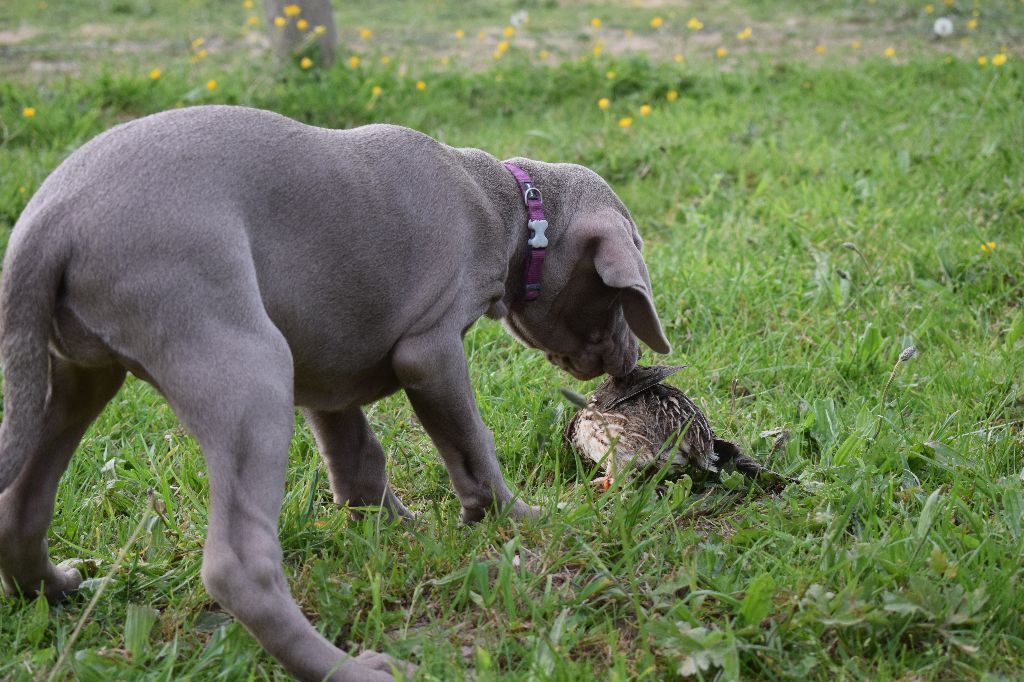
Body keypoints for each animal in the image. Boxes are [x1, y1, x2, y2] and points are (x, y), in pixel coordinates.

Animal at [0, 103, 671, 675]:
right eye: (621, 298)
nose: (633, 365)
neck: (504, 204)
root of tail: (47, 225)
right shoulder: (429, 351)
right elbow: (472, 447)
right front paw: (519, 517)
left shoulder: (325, 373)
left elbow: (358, 459)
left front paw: (397, 527)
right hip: (248, 364)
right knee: (237, 567)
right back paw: (354, 669)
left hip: (73, 375)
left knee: (22, 503)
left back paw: (58, 587)